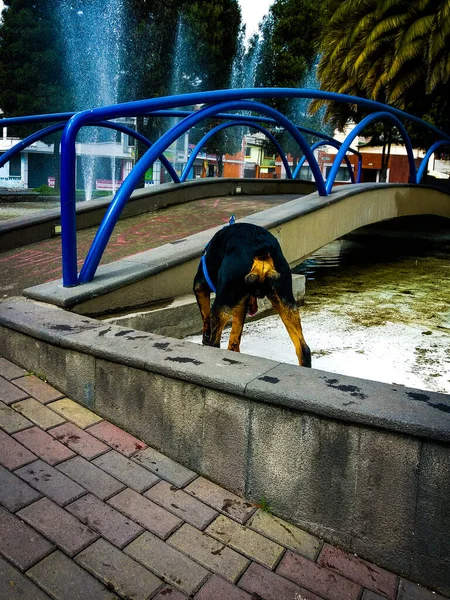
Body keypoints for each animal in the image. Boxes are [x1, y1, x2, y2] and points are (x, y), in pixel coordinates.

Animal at [192, 223, 312, 368]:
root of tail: (259, 246)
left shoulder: (200, 286)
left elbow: (205, 316)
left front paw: (205, 337)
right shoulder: (241, 301)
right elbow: (235, 336)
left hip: (223, 301)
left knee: (215, 341)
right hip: (285, 299)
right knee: (303, 348)